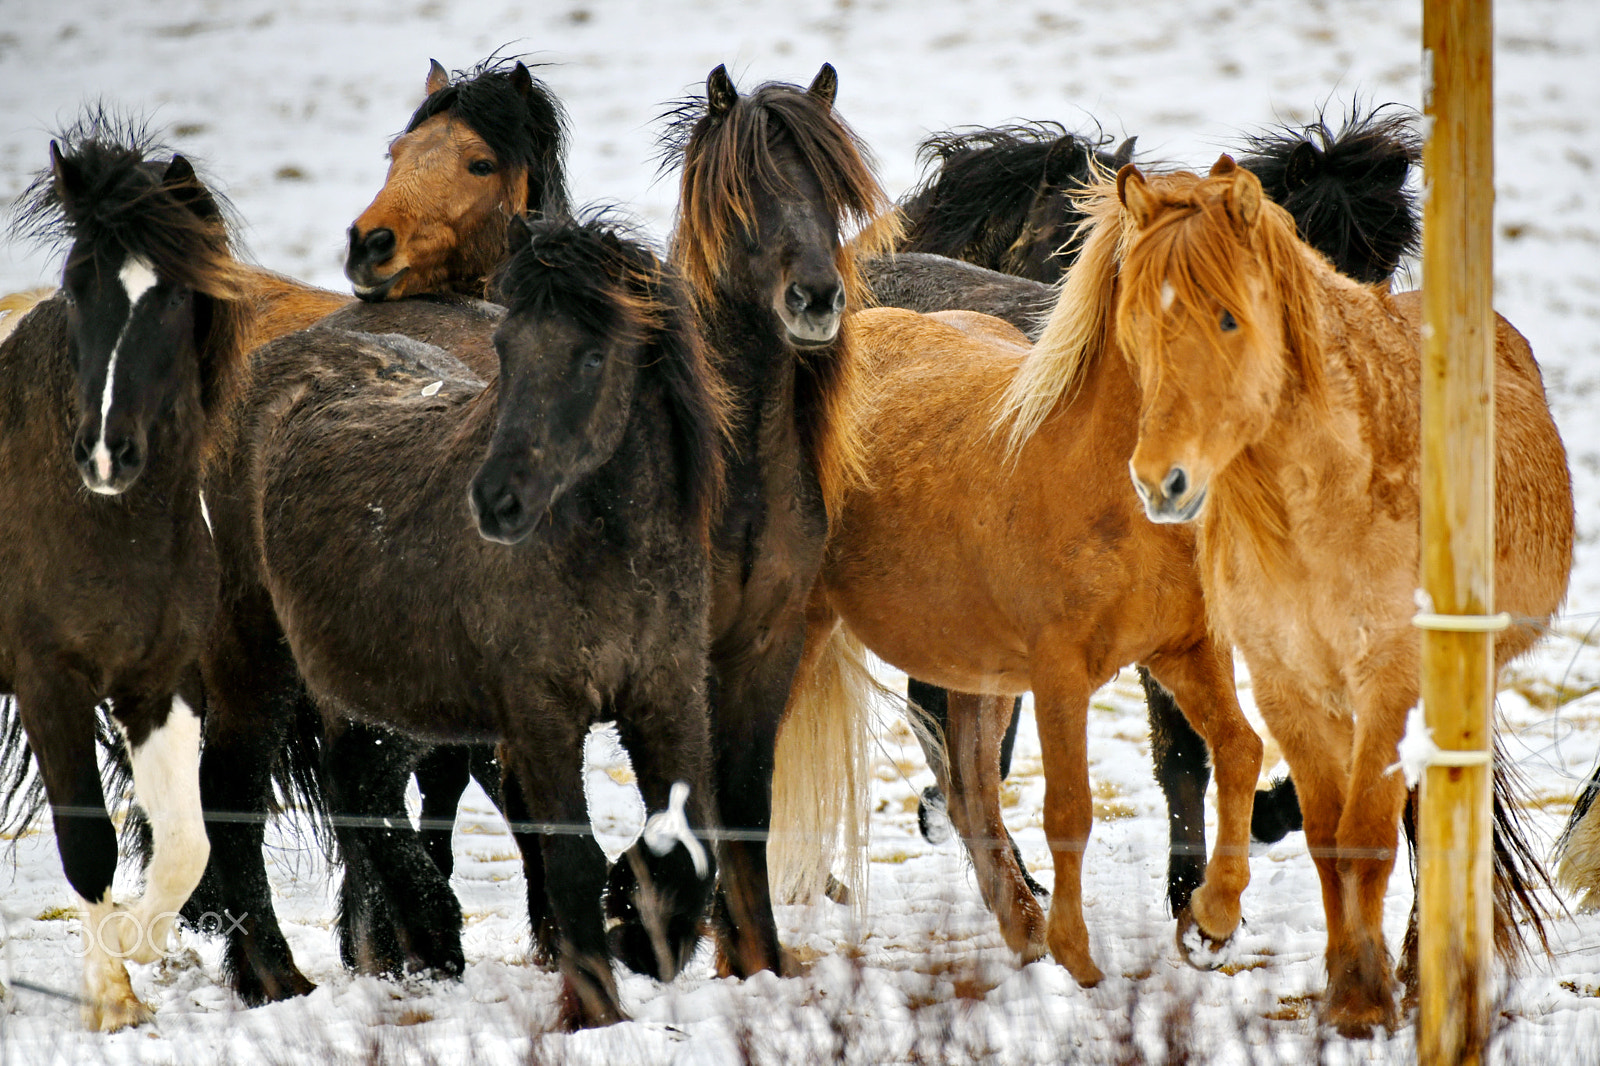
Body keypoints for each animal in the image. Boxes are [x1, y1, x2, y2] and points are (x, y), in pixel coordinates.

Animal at [188, 214, 732, 1024]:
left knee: (358, 786)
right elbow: (570, 858)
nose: (498, 501)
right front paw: (595, 1008)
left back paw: (426, 938)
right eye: (506, 347)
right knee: (232, 797)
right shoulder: (542, 718)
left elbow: (689, 849)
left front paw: (636, 928)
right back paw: (278, 978)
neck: (607, 557)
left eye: (593, 354)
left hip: (378, 687)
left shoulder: (667, 702)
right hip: (254, 656)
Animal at [1113, 157, 1574, 1030]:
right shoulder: (1288, 684)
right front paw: (1345, 986)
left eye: (1228, 319)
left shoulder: (1390, 681)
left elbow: (1369, 834)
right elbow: (1329, 836)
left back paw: (1427, 967)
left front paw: (1367, 1002)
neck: (1330, 499)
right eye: (1132, 327)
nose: (1161, 482)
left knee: (1433, 814)